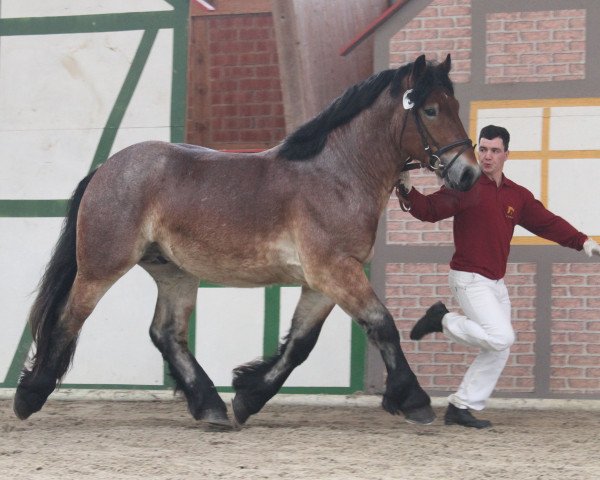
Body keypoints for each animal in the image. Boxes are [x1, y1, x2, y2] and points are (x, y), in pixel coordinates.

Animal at [12, 52, 478, 428]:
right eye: (431, 109)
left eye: (455, 105)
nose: (469, 173)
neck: (337, 173)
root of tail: (107, 168)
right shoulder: (334, 271)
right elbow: (382, 325)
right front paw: (414, 401)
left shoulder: (325, 280)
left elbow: (300, 344)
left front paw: (248, 397)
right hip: (100, 267)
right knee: (69, 319)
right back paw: (28, 397)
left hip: (174, 272)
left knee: (166, 333)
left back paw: (211, 406)